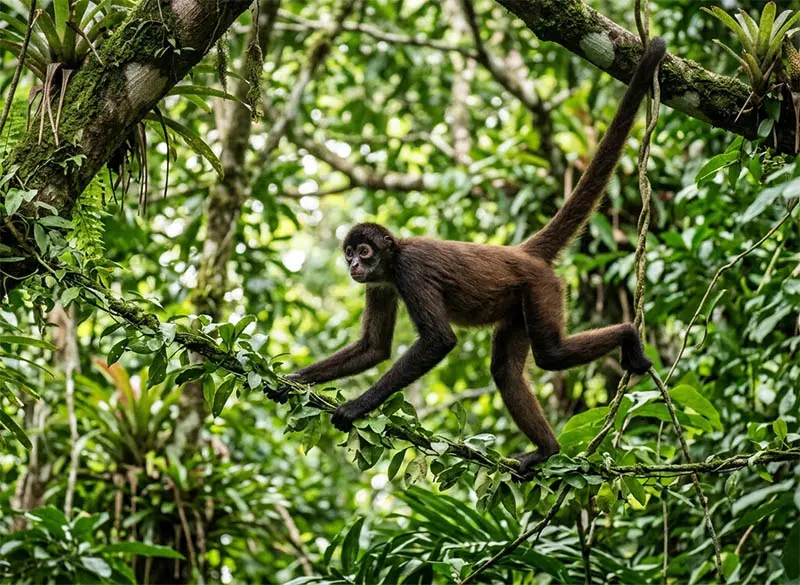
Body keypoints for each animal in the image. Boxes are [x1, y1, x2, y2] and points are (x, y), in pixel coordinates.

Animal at [270, 39, 666, 475]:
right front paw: (292, 381)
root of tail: (521, 253)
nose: (355, 265)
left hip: (541, 288)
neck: (395, 255)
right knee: (506, 371)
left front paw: (357, 407)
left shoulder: (409, 272)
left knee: (551, 353)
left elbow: (439, 341)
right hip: (518, 305)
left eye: (364, 251)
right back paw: (547, 451)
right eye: (348, 255)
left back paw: (627, 334)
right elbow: (374, 348)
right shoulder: (381, 285)